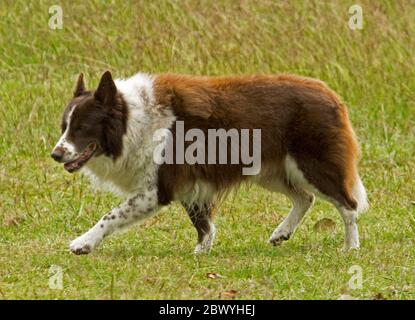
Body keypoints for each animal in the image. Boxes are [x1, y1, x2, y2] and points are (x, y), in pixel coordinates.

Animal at [51, 70, 368, 255]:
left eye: (81, 128)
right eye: (64, 127)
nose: (55, 154)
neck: (133, 119)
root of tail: (330, 94)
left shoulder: (157, 189)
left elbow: (111, 215)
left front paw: (84, 242)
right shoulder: (190, 185)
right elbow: (202, 222)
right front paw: (203, 251)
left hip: (312, 166)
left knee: (348, 205)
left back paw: (351, 248)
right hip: (272, 170)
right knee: (305, 198)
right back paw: (282, 233)